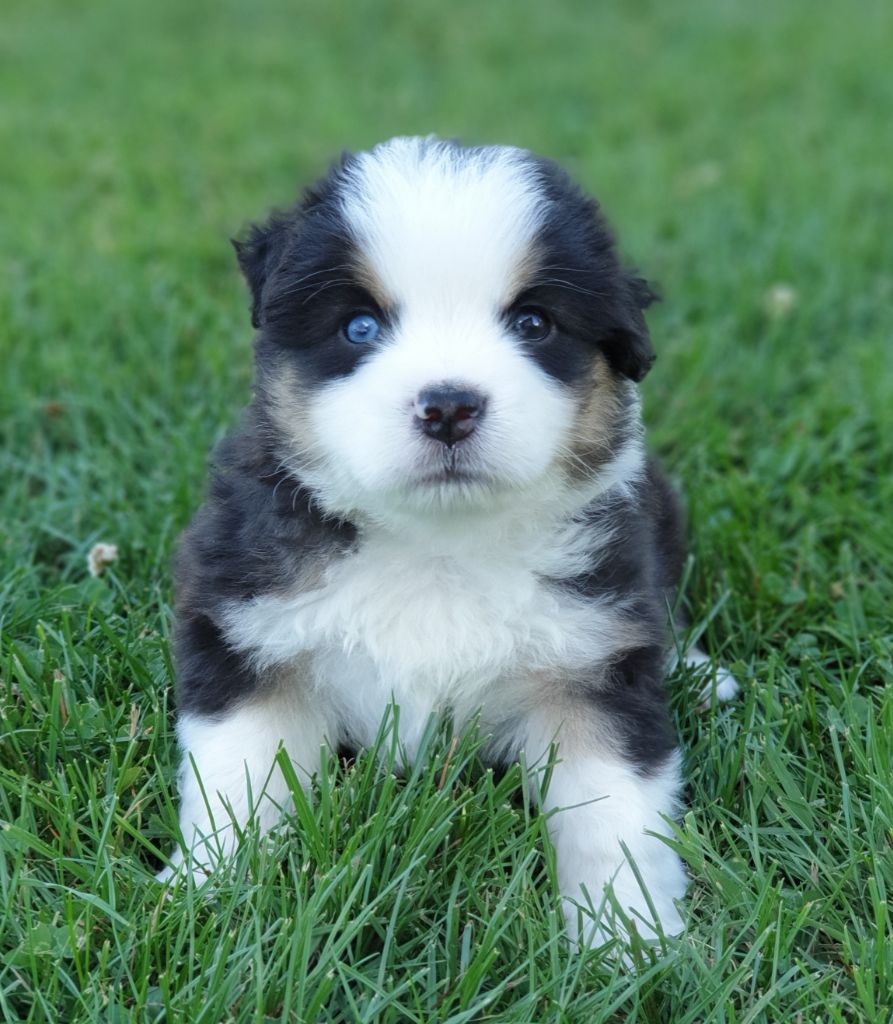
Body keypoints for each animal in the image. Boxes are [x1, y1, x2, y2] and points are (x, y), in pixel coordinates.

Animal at [156, 138, 737, 950]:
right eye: (359, 327)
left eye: (533, 323)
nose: (449, 407)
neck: (435, 546)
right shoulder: (250, 636)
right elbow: (237, 783)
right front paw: (204, 898)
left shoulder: (588, 664)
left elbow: (613, 811)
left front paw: (627, 940)